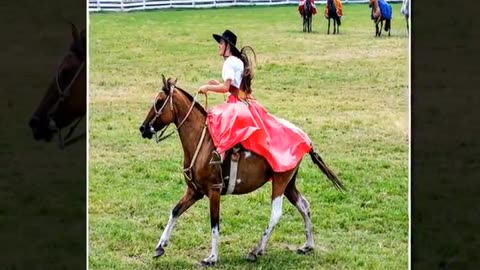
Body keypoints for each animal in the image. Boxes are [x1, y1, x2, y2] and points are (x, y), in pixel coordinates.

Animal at [139, 75, 344, 266]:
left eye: (159, 101)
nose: (143, 128)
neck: (202, 142)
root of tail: (306, 140)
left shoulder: (214, 191)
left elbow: (214, 223)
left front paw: (212, 257)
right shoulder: (194, 191)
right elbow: (175, 211)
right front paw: (160, 246)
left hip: (280, 182)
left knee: (276, 214)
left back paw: (256, 250)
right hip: (289, 185)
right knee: (304, 205)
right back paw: (307, 245)